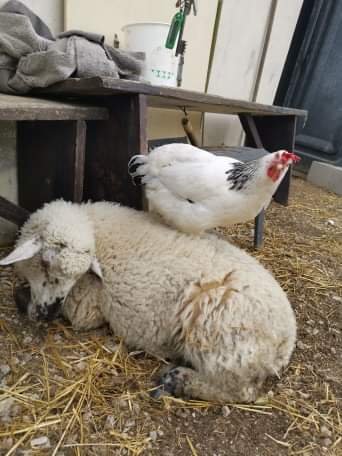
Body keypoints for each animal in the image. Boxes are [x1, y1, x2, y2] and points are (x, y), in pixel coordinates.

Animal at [0, 200, 296, 402]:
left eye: (77, 275)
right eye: (45, 262)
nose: (48, 313)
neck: (95, 228)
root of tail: (285, 342)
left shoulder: (85, 308)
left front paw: (23, 299)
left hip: (217, 331)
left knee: (241, 390)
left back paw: (179, 380)